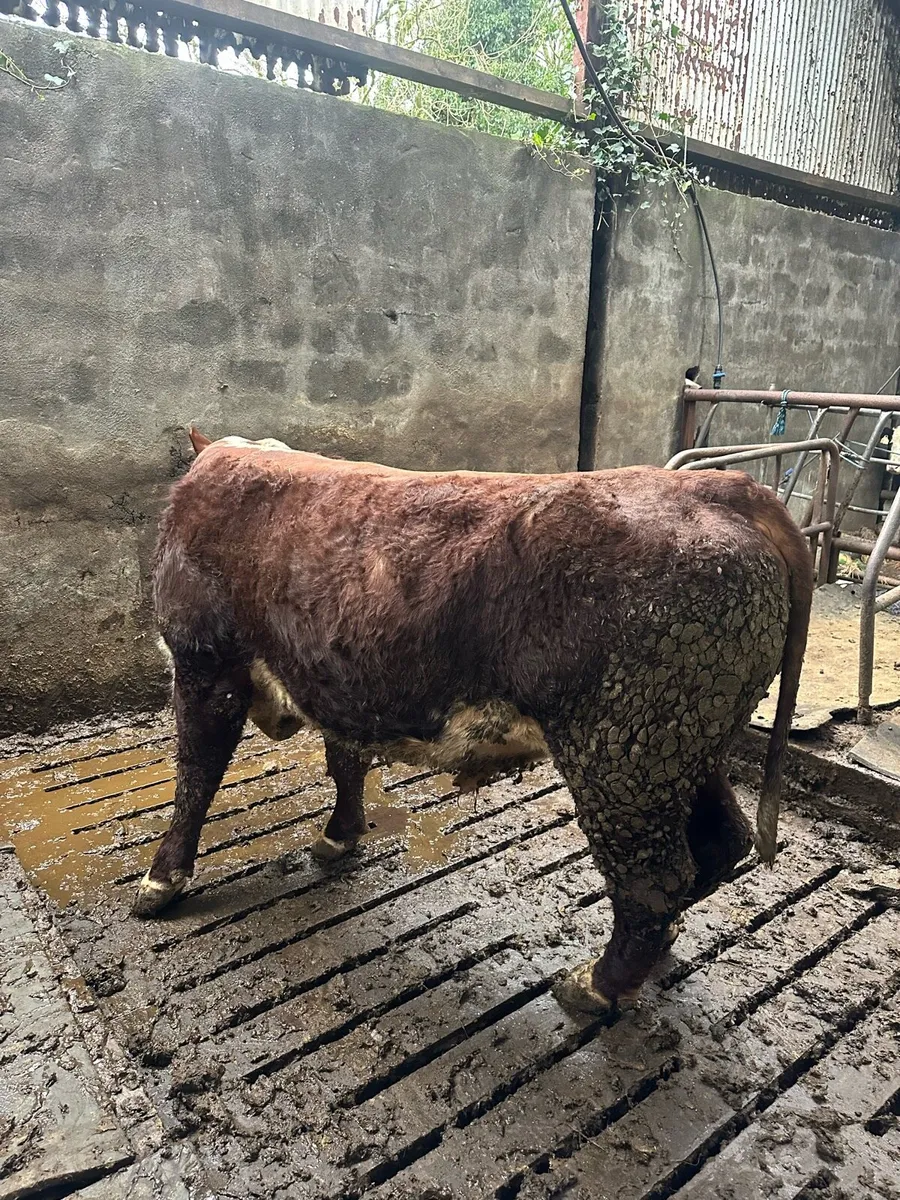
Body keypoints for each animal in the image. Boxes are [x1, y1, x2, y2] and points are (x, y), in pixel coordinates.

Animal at [137, 429, 812, 1015]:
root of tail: (717, 487)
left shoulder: (203, 665)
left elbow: (195, 775)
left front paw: (162, 879)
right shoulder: (333, 679)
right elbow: (343, 759)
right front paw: (339, 836)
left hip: (624, 757)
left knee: (657, 879)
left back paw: (596, 985)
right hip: (680, 746)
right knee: (720, 842)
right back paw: (657, 955)